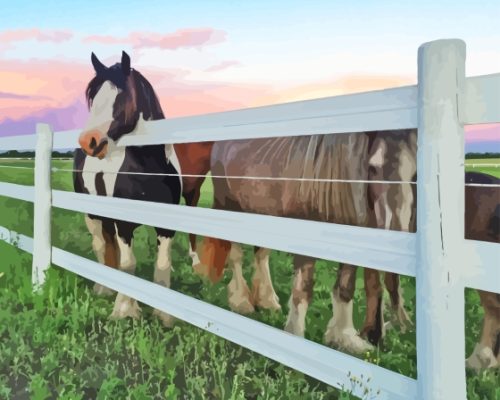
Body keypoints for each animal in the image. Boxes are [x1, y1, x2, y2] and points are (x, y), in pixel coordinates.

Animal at [73, 50, 183, 324]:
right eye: (93, 97)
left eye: (120, 95)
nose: (89, 141)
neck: (147, 169)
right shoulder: (123, 223)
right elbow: (127, 264)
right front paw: (124, 310)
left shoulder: (167, 224)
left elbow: (163, 264)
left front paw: (164, 314)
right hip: (92, 215)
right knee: (101, 246)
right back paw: (104, 288)